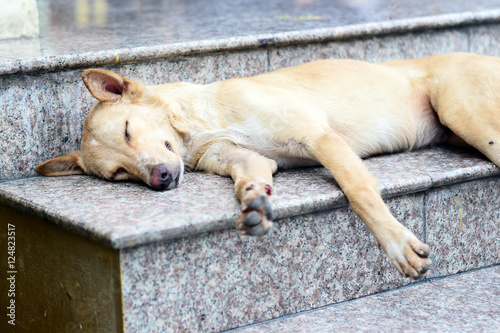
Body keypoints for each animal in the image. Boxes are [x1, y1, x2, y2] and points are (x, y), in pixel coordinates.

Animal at [35, 52, 500, 280]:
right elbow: (249, 181)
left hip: (466, 116)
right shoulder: (246, 159)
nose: (160, 180)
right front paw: (254, 204)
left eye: (129, 130)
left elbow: (360, 192)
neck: (205, 123)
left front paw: (397, 244)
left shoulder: (321, 139)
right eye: (118, 175)